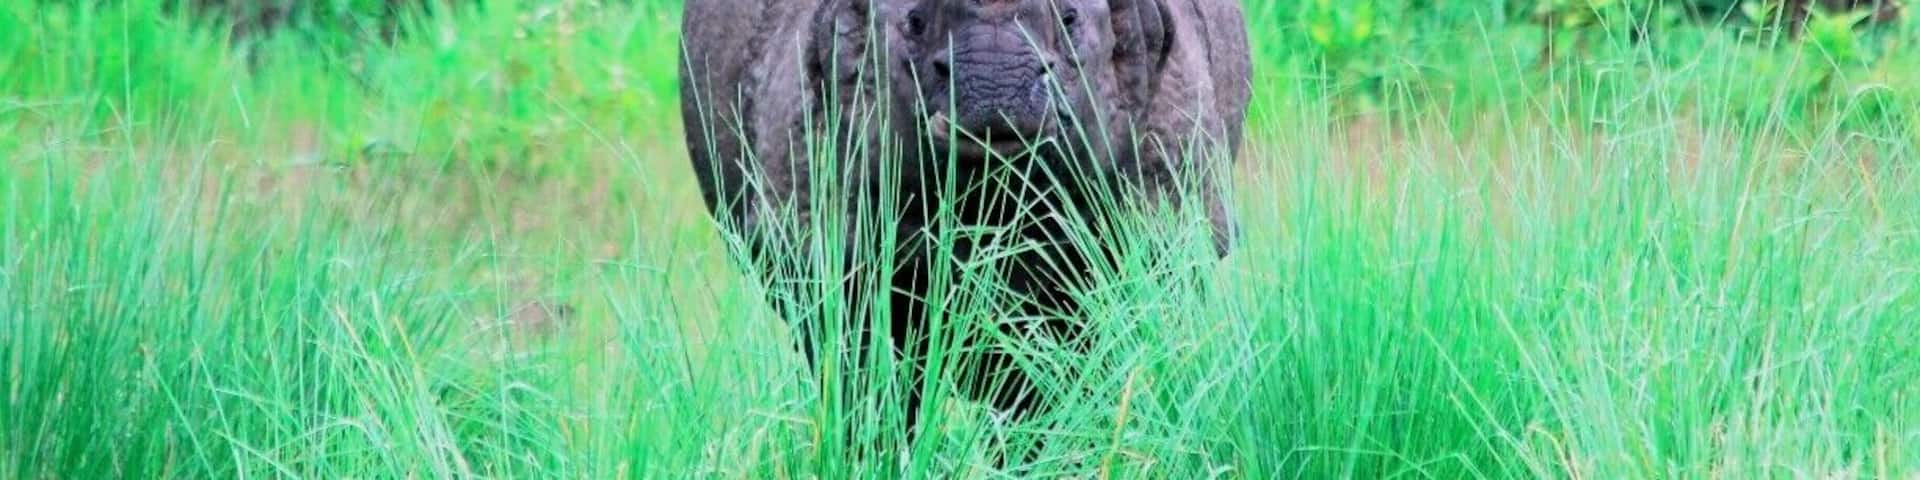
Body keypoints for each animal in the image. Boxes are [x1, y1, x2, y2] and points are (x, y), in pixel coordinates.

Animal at [677, 0, 1250, 453]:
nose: (997, 95)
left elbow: (1069, 392)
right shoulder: (830, 259)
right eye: (913, 21)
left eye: (1069, 18)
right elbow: (869, 393)